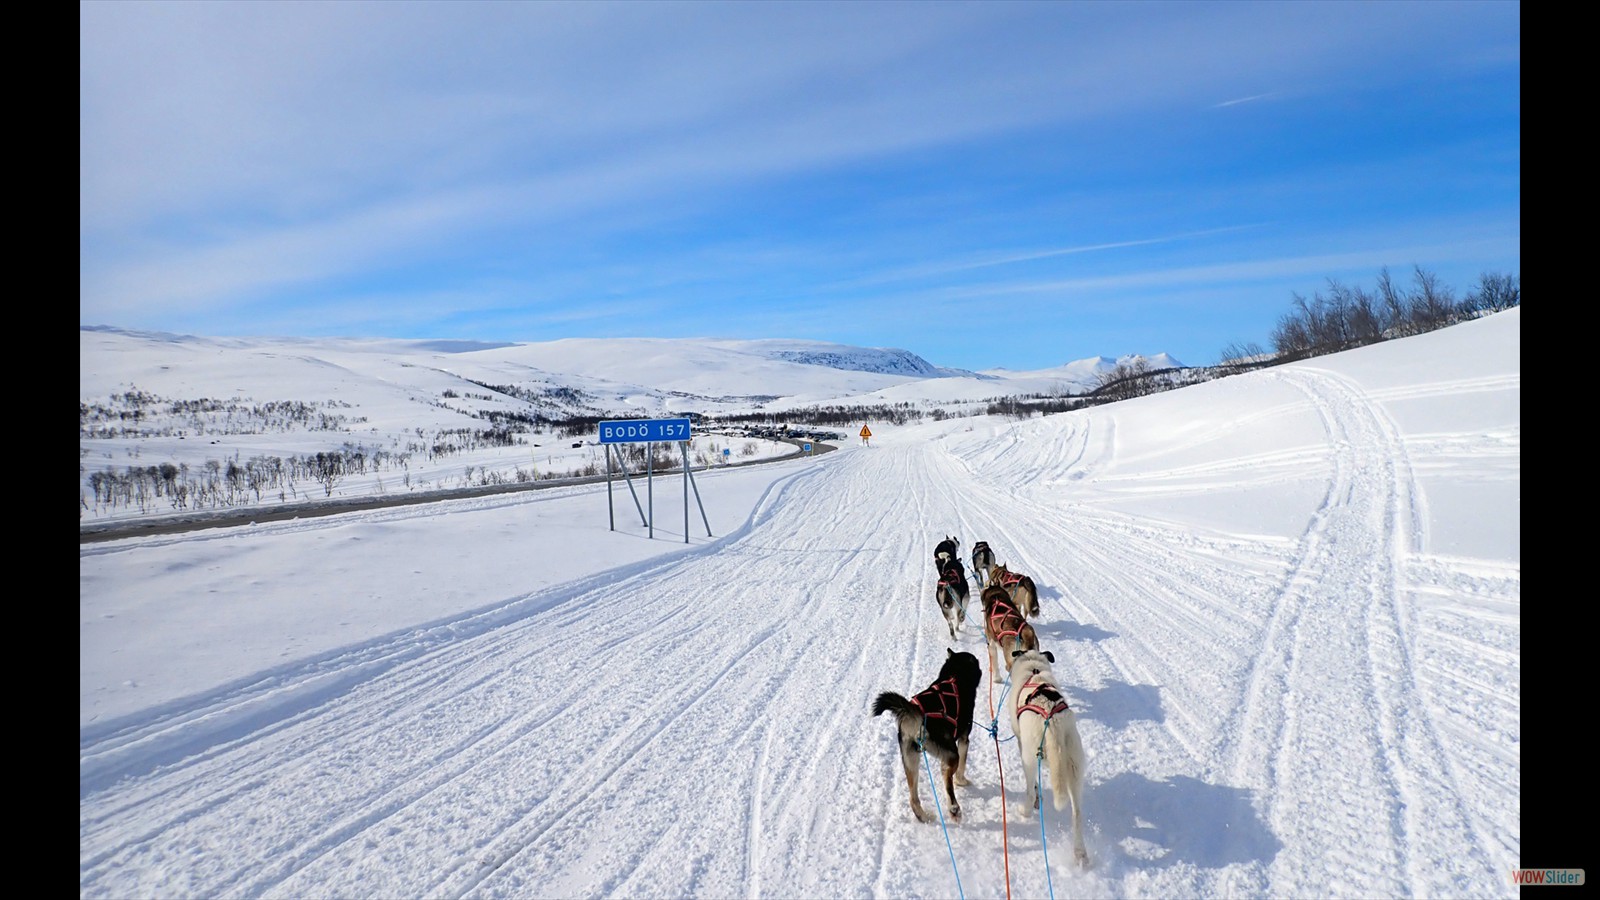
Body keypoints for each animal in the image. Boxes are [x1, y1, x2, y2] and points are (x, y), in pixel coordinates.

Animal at [870, 650, 979, 819]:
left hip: (911, 760)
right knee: (947, 776)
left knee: (913, 799)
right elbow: (962, 767)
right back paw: (953, 808)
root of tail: (917, 714)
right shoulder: (964, 739)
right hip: (949, 753)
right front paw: (961, 781)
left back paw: (924, 817)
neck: (955, 675)